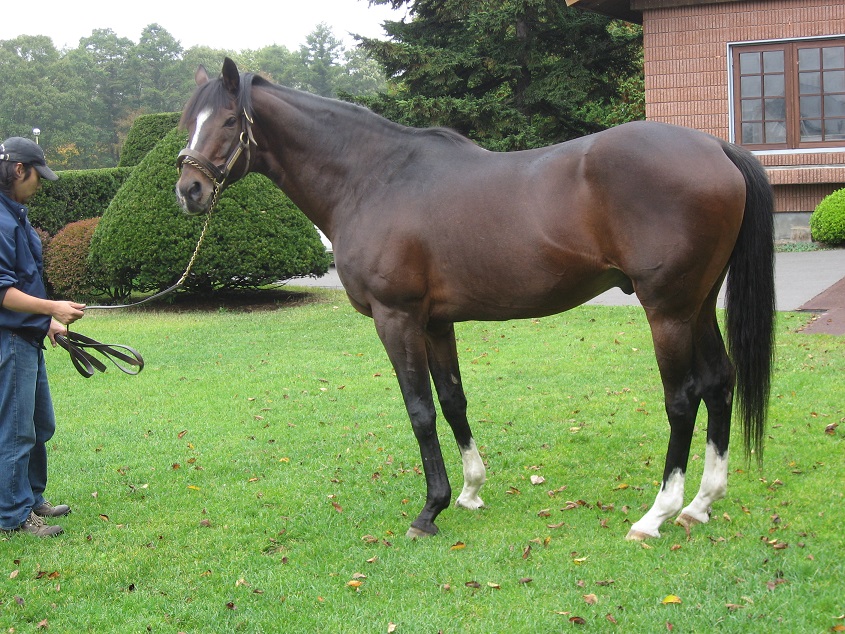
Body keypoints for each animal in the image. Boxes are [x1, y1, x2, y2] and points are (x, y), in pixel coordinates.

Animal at [176, 58, 775, 540]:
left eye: (228, 121)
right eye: (188, 123)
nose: (189, 191)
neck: (371, 179)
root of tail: (715, 147)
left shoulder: (396, 318)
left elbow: (419, 410)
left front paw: (428, 511)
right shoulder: (436, 323)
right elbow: (452, 400)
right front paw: (468, 492)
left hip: (667, 309)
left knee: (683, 398)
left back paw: (656, 514)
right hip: (698, 305)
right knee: (719, 381)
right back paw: (700, 504)